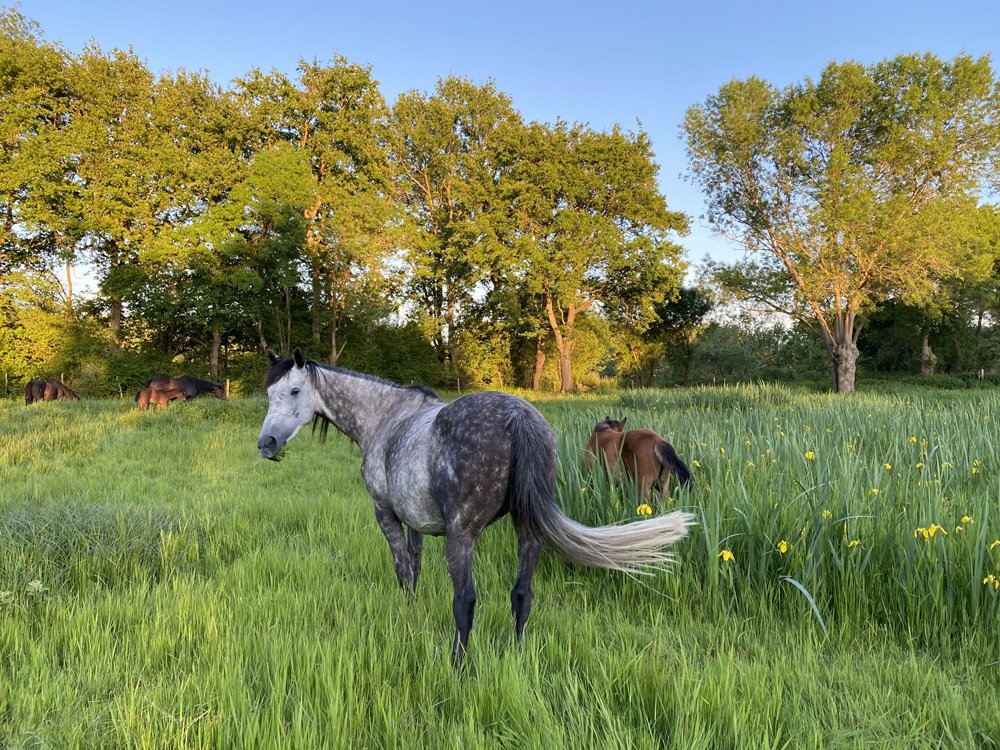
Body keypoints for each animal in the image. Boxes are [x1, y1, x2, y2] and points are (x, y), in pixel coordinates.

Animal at [257, 347, 694, 666]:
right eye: (269, 395)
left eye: (293, 392)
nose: (265, 444)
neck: (383, 418)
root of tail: (518, 415)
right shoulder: (415, 521)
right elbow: (415, 564)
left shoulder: (387, 514)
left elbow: (404, 571)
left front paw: (408, 615)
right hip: (527, 529)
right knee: (522, 593)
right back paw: (516, 655)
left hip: (462, 535)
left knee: (465, 600)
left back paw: (458, 665)